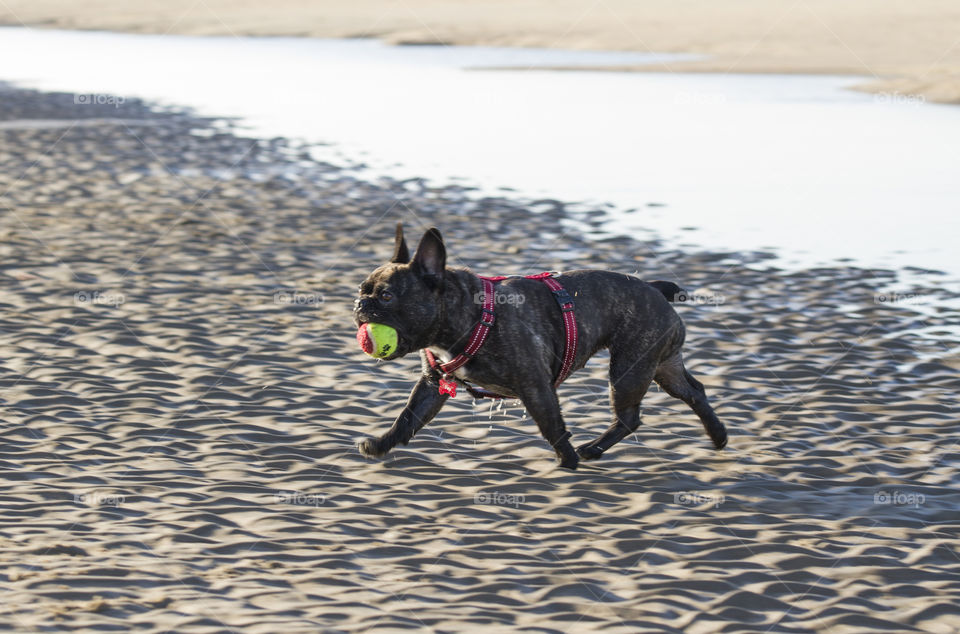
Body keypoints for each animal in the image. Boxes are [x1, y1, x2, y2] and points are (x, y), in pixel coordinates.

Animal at [354, 223, 728, 470]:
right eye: (362, 289)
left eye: (386, 296)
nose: (360, 305)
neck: (470, 315)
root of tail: (654, 288)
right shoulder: (433, 385)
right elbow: (408, 417)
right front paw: (382, 444)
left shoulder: (535, 387)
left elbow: (552, 427)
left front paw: (568, 462)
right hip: (661, 365)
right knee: (694, 391)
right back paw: (718, 435)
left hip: (630, 369)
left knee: (630, 417)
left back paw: (590, 450)